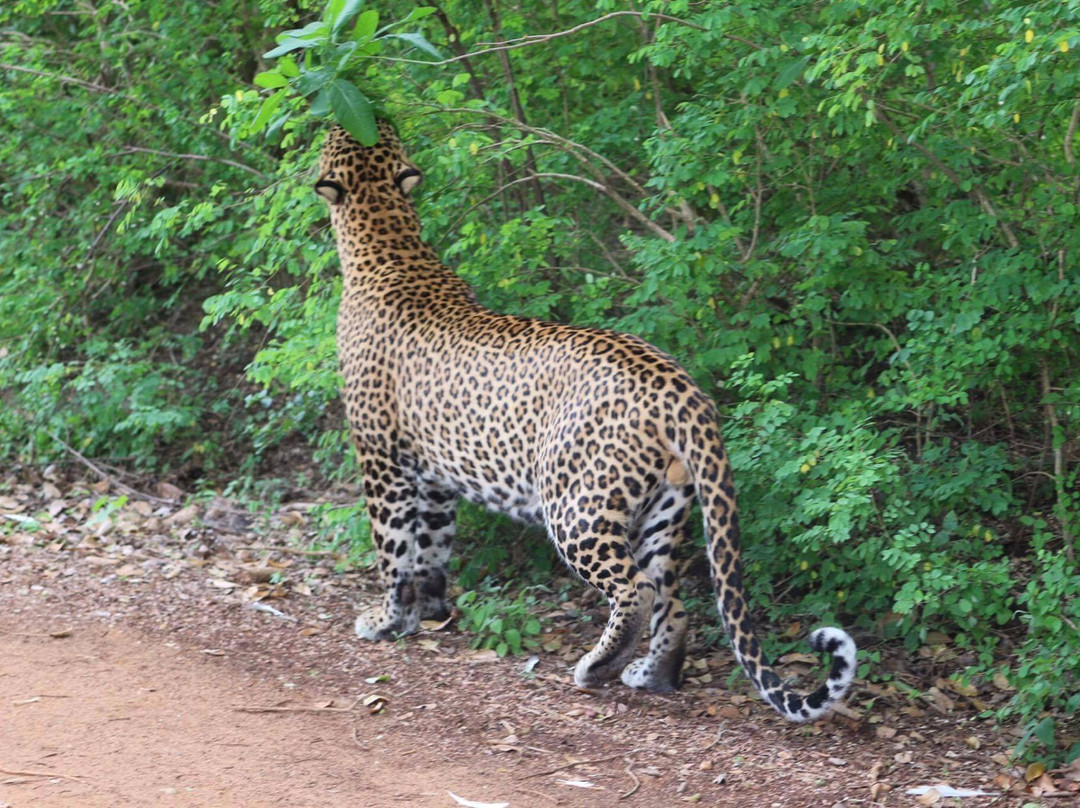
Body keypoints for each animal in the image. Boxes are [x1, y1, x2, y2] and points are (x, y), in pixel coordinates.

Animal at [315, 118, 855, 721]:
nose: (341, 119)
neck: (388, 240)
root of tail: (682, 385)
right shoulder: (433, 475)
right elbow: (430, 546)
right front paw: (426, 613)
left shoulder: (380, 456)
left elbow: (392, 549)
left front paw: (385, 620)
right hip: (664, 507)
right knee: (672, 599)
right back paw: (652, 674)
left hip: (576, 505)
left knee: (635, 589)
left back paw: (596, 667)